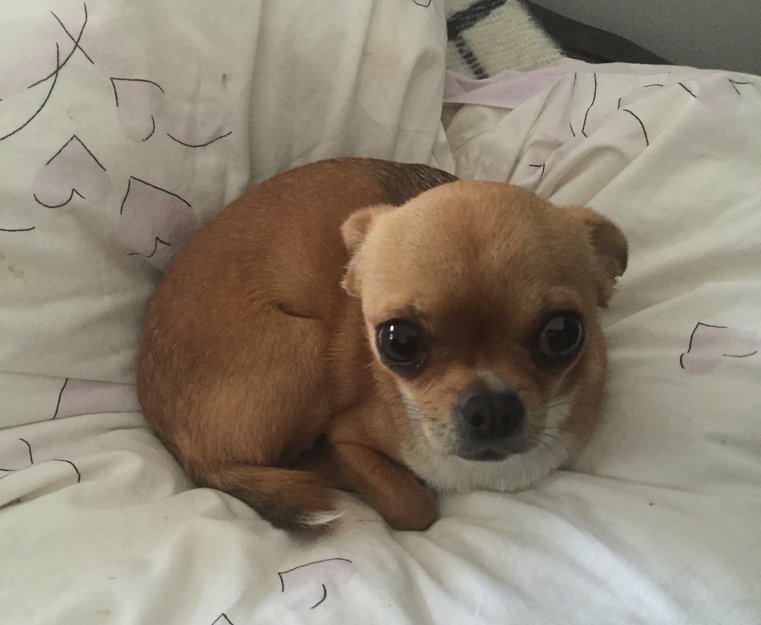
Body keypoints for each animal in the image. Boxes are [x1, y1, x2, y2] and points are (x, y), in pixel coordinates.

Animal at [137, 157, 627, 533]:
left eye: (563, 334)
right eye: (399, 341)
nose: (490, 409)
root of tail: (186, 453)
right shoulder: (347, 435)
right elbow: (415, 509)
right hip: (308, 347)